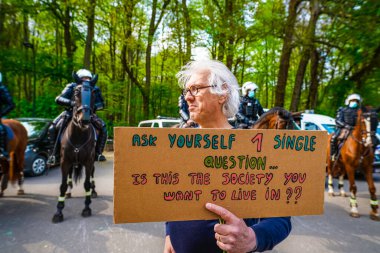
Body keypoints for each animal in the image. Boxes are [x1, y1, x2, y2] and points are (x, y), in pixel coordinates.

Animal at [53, 81, 98, 223]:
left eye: (94, 94)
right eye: (76, 93)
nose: (85, 119)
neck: (78, 135)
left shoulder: (89, 161)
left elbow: (87, 184)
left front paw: (87, 208)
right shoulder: (65, 161)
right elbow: (62, 185)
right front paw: (58, 212)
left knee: (92, 174)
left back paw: (94, 192)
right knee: (69, 176)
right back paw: (68, 192)